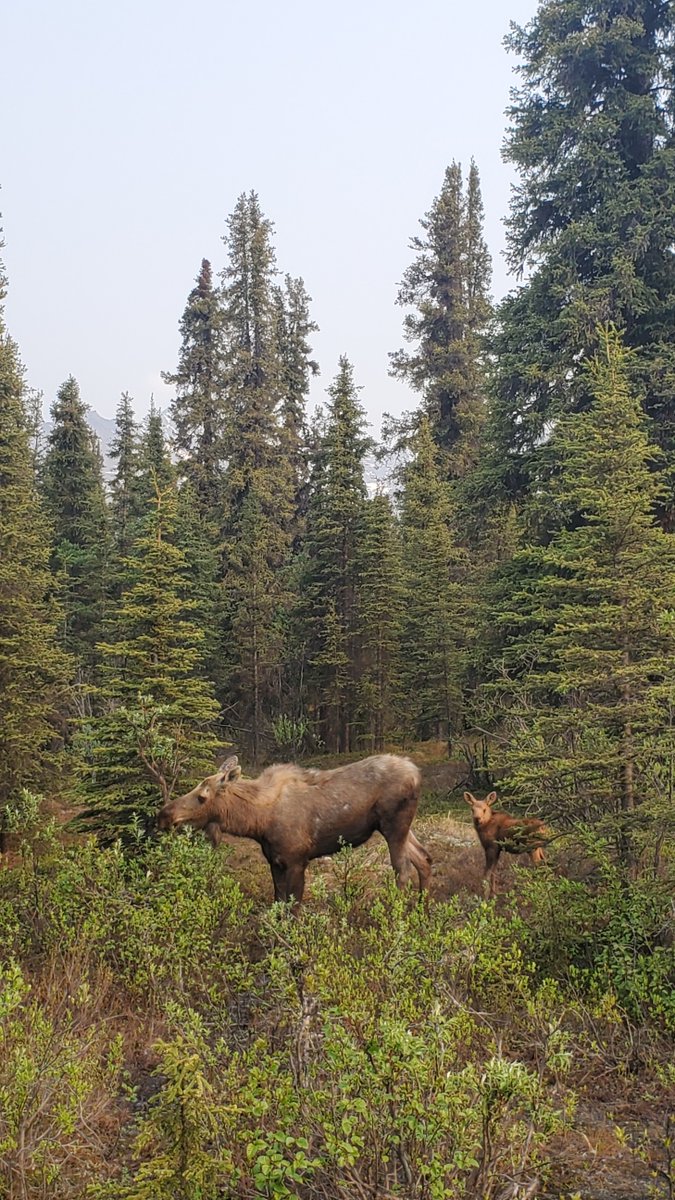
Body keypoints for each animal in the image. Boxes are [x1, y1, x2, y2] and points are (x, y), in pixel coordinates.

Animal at [157, 754, 432, 906]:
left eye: (202, 796)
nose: (164, 815)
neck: (258, 821)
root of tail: (418, 774)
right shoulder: (275, 861)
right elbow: (278, 904)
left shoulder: (297, 860)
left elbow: (294, 908)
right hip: (401, 827)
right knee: (424, 858)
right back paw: (423, 912)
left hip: (394, 824)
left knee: (403, 868)